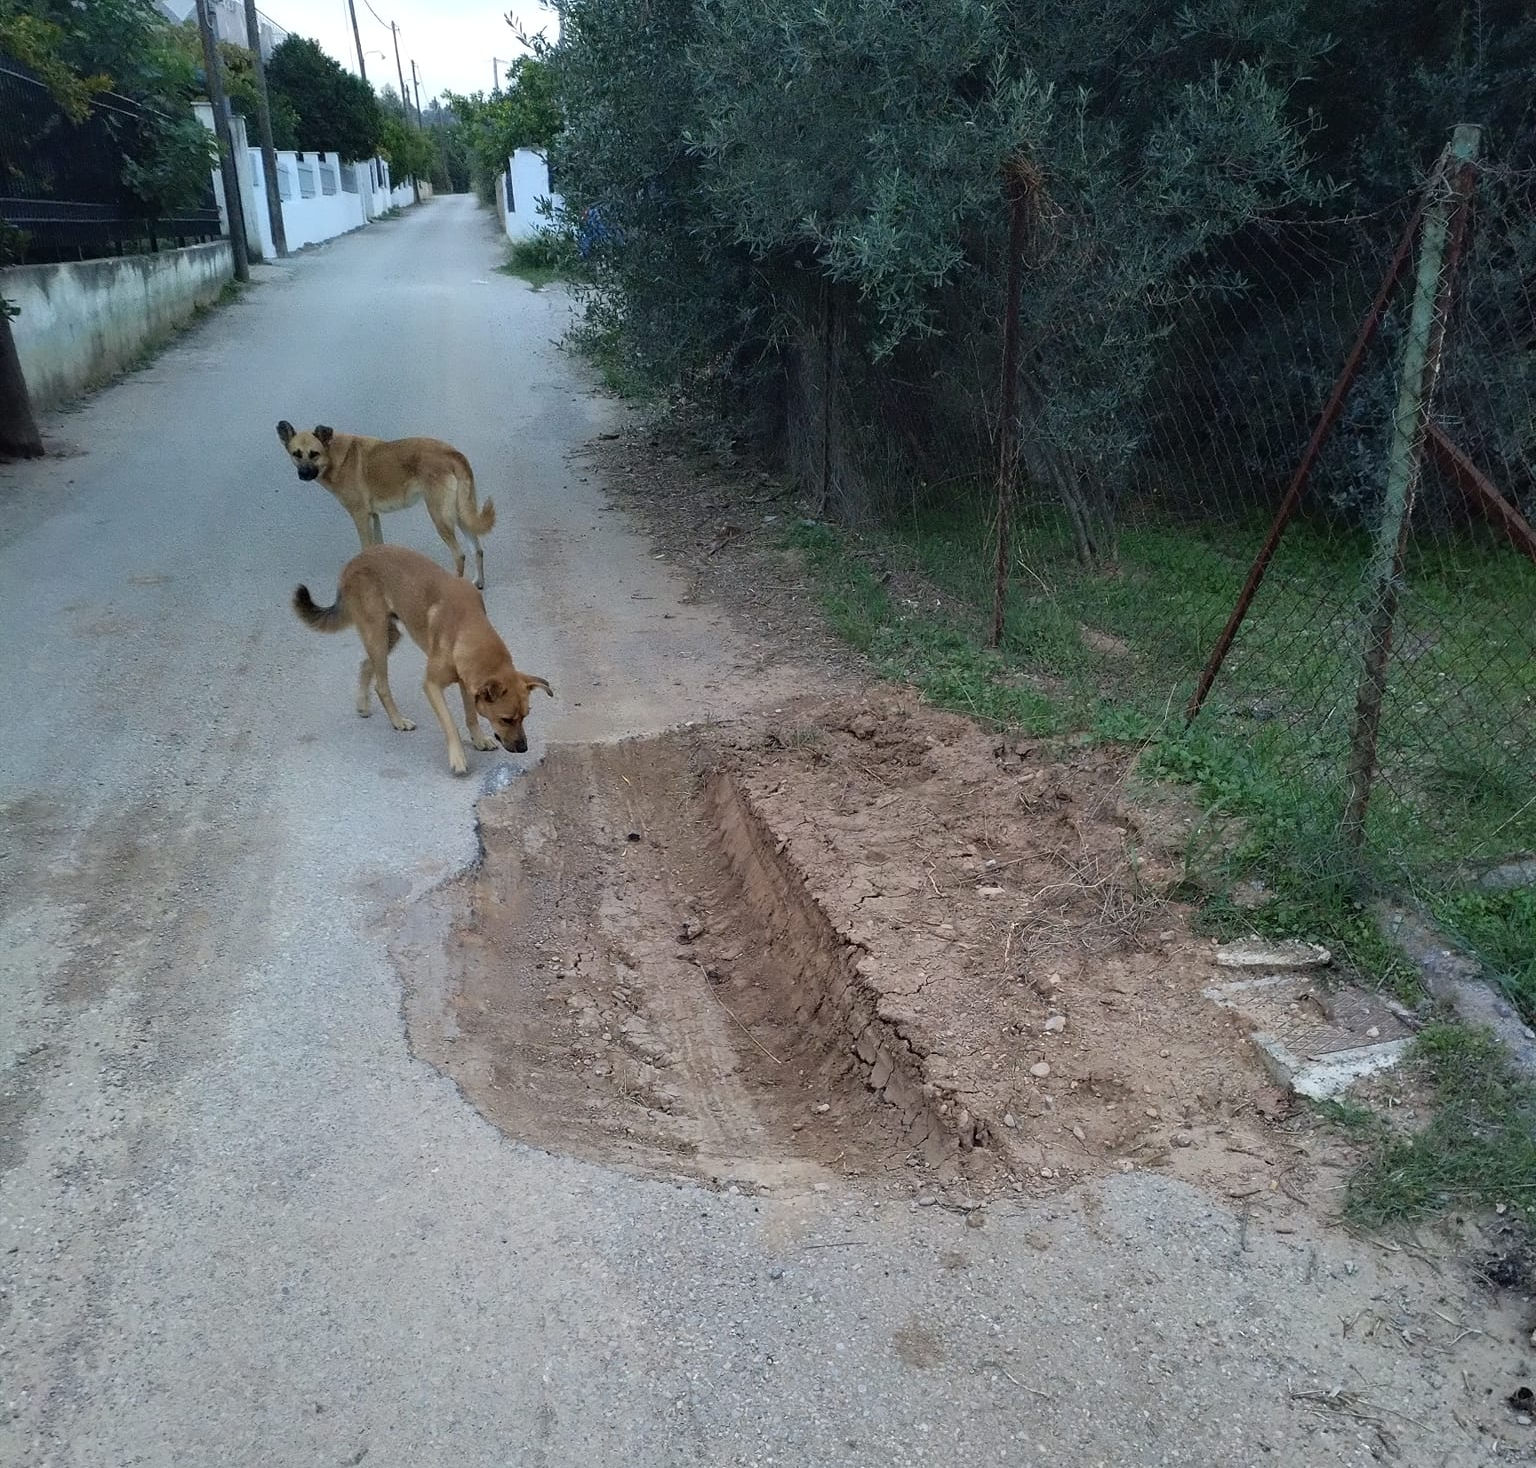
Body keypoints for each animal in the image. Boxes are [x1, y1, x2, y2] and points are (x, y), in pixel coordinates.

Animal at [273, 420, 494, 586]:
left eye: (314, 454)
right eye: (296, 454)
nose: (303, 474)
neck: (335, 458)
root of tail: (452, 453)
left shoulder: (360, 516)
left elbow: (366, 547)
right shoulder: (373, 516)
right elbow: (378, 546)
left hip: (440, 517)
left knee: (460, 555)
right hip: (461, 515)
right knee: (477, 549)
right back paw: (478, 583)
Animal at [291, 540, 552, 767]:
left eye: (526, 715)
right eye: (505, 719)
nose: (523, 749)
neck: (467, 628)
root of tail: (354, 561)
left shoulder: (467, 683)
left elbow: (471, 715)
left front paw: (478, 739)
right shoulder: (432, 685)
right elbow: (450, 722)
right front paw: (458, 757)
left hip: (389, 636)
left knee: (366, 664)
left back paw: (363, 704)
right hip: (377, 635)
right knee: (381, 685)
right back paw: (397, 721)